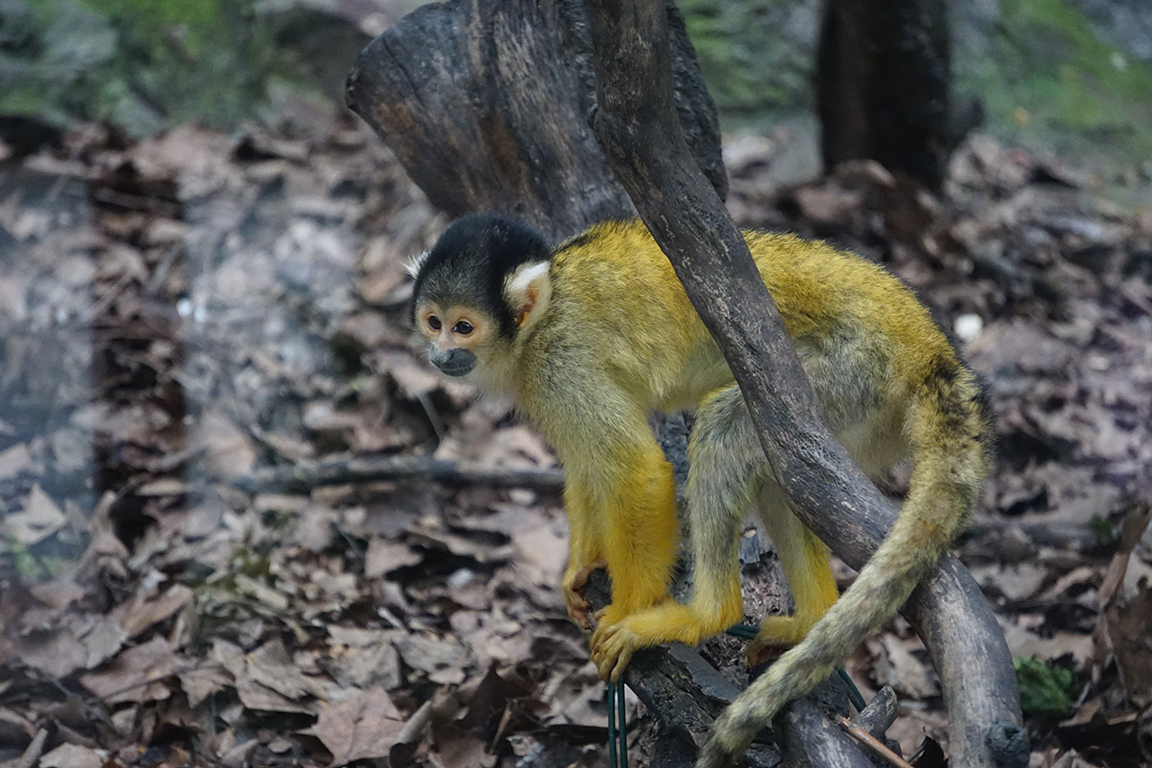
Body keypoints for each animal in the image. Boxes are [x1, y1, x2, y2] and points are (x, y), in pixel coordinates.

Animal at [407, 213, 991, 767]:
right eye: (433, 322)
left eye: (464, 327)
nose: (440, 354)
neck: (537, 324)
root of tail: (925, 341)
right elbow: (588, 465)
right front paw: (582, 568)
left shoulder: (559, 364)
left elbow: (636, 469)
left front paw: (626, 613)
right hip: (862, 410)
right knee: (784, 475)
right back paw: (810, 619)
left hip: (846, 372)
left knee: (729, 433)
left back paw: (708, 614)